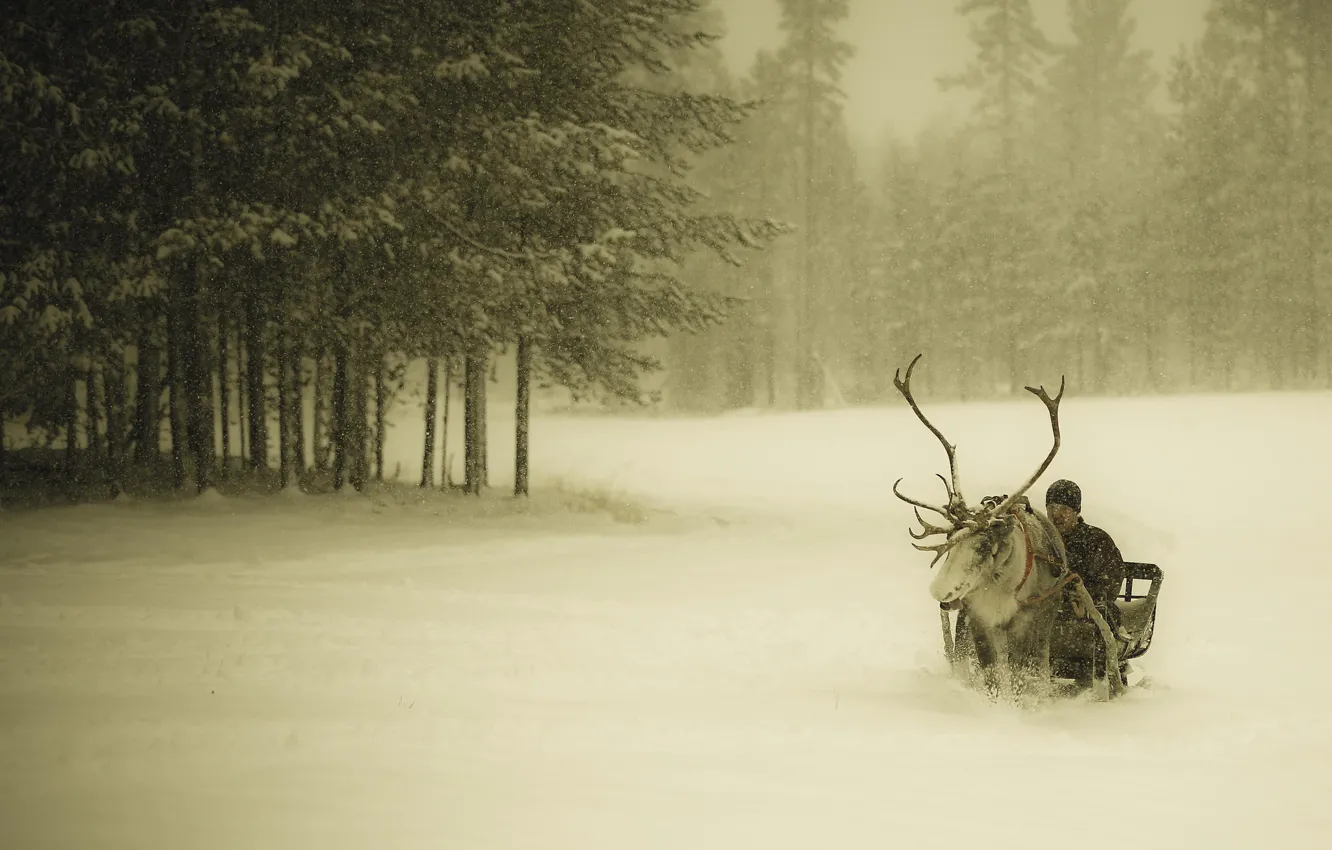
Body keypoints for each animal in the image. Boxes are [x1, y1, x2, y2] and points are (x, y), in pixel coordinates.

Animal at [890, 354, 1116, 701]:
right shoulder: (979, 620)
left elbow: (1022, 672)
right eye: (950, 541)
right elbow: (992, 674)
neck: (999, 586)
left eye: (984, 546)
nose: (939, 592)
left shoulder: (1026, 621)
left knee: (1043, 662)